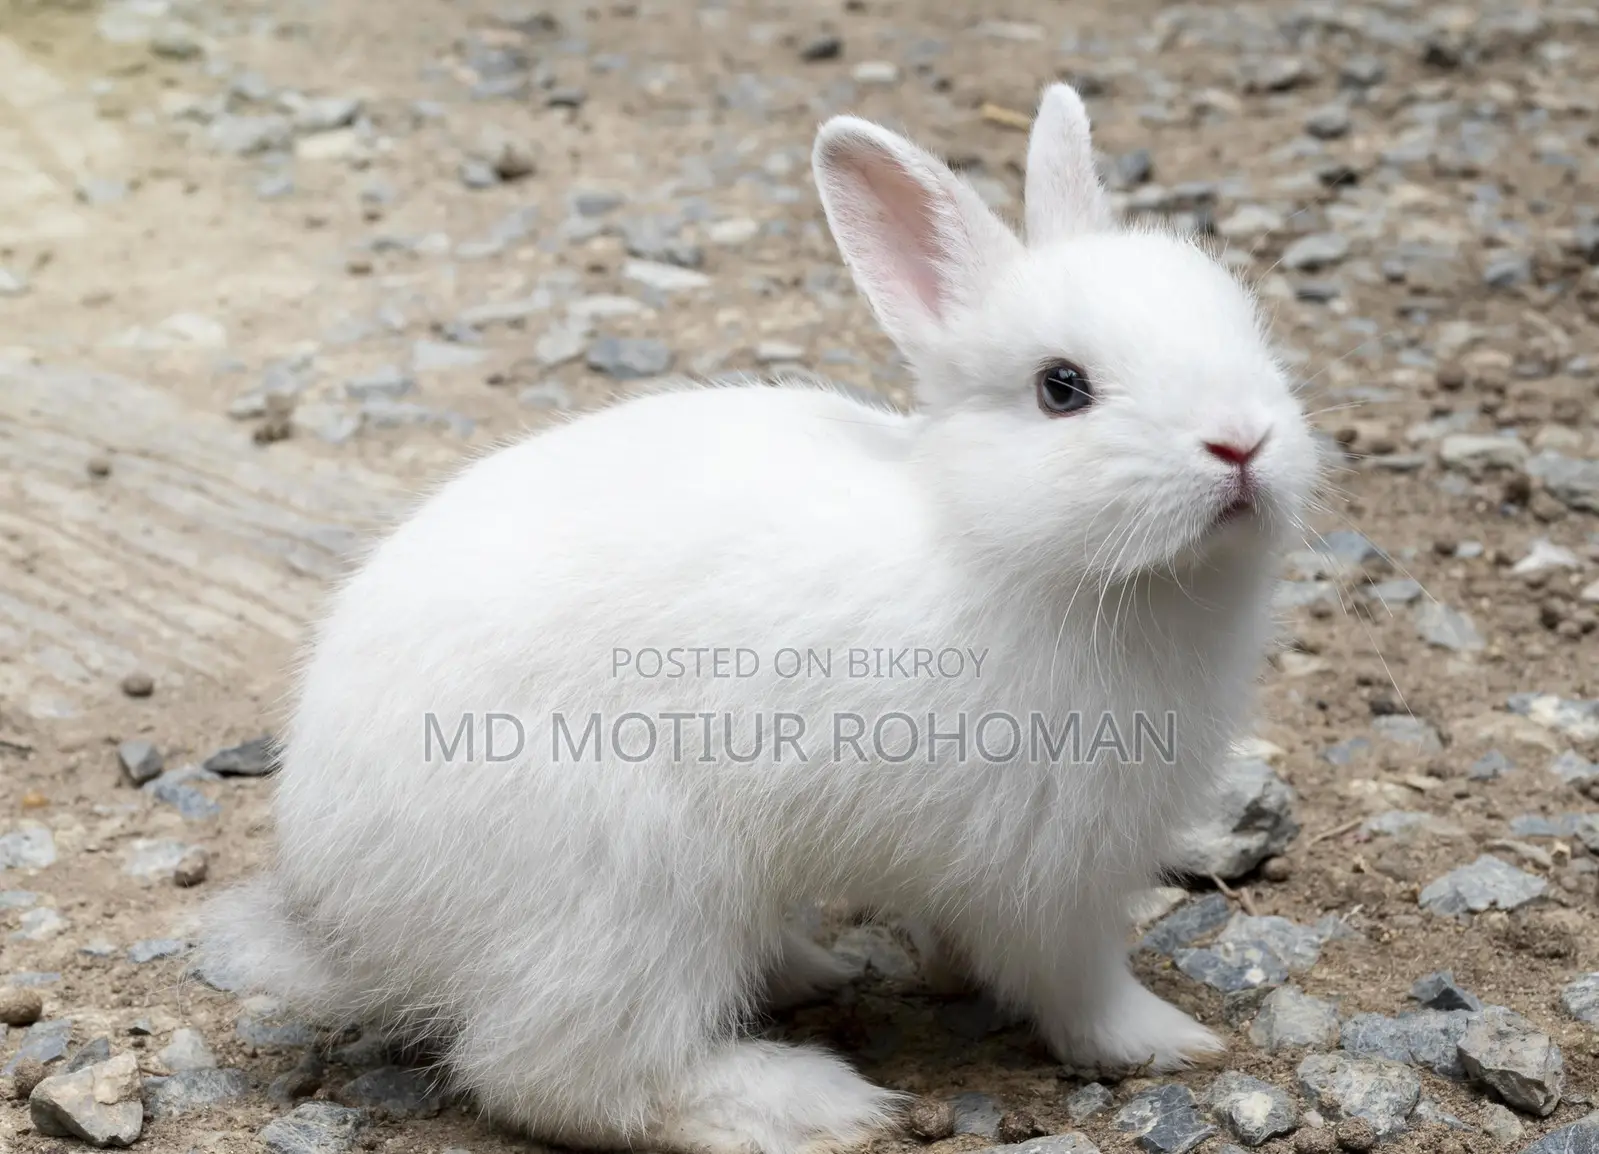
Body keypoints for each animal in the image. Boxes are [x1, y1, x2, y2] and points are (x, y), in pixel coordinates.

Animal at [200, 81, 1323, 1154]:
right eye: (1062, 388)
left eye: (1247, 326)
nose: (1242, 442)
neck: (995, 542)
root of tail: (339, 912)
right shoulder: (1047, 870)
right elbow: (1075, 980)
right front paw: (1167, 1041)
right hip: (628, 894)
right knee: (557, 1078)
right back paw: (805, 1105)